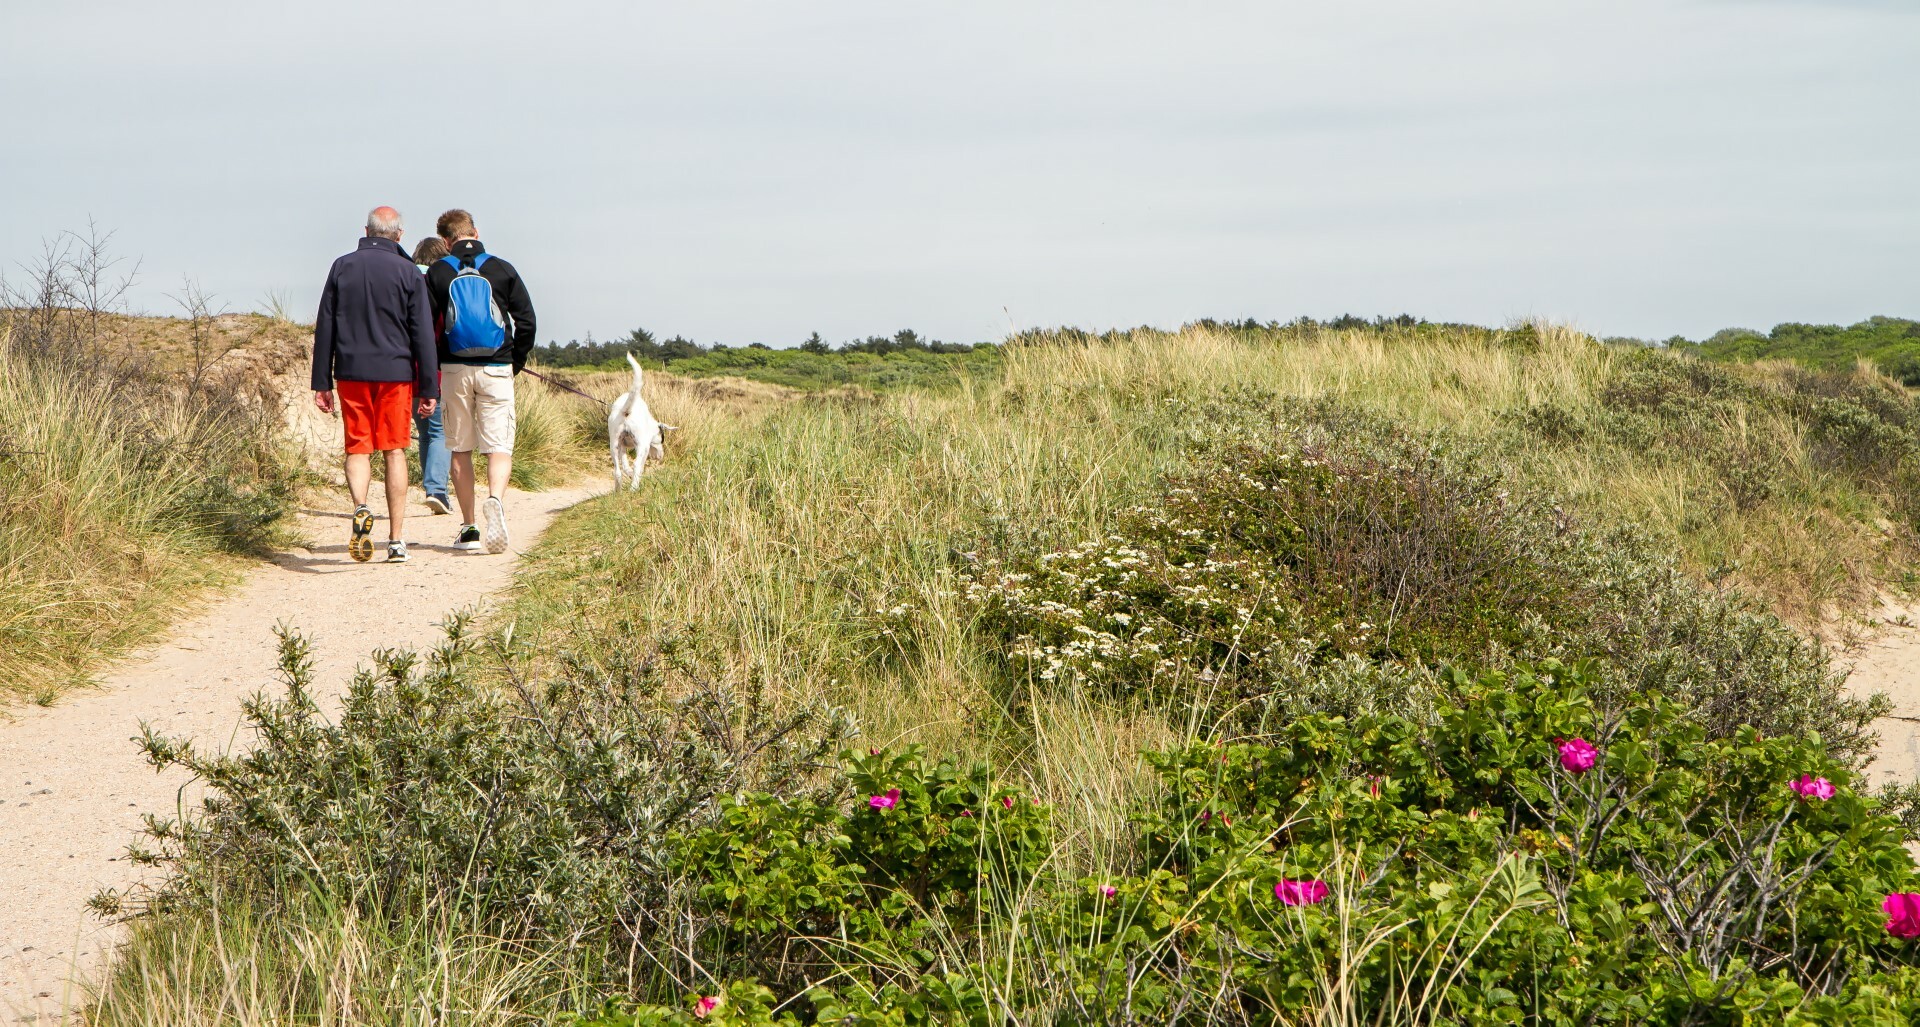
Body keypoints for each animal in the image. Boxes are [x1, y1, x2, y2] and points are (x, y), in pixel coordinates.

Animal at [614, 353, 683, 489]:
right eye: (662, 439)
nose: (661, 457)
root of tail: (627, 412)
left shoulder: (622, 446)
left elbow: (624, 465)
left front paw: (628, 473)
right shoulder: (644, 446)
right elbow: (639, 466)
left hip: (613, 444)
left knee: (617, 471)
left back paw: (618, 490)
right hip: (640, 445)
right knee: (636, 465)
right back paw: (634, 487)